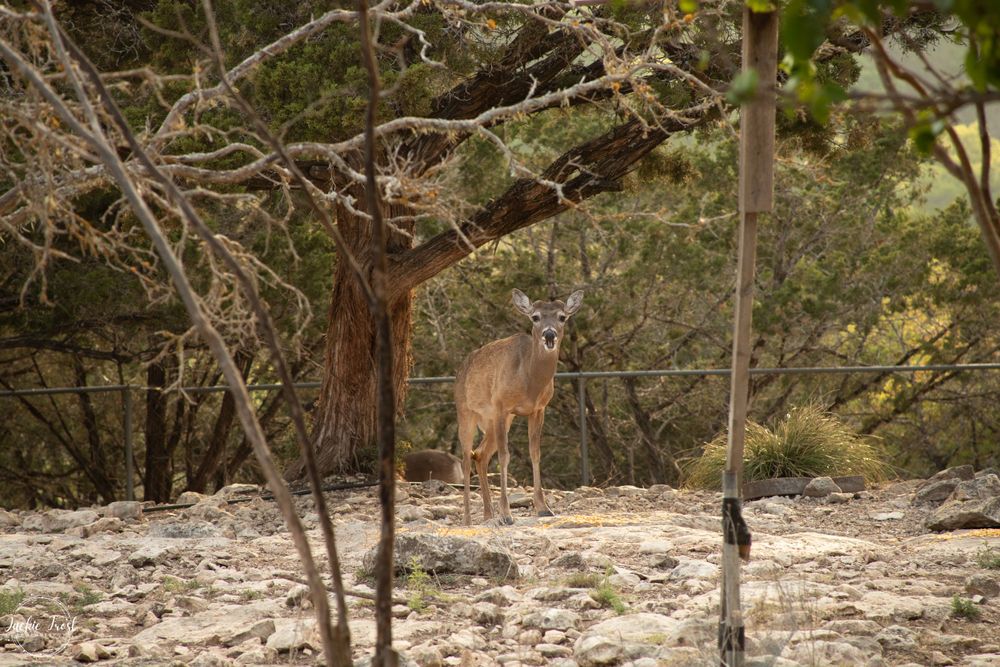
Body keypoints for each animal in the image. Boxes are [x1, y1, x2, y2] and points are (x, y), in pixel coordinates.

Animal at [455, 288, 584, 525]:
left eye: (562, 317)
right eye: (535, 317)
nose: (549, 335)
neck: (528, 380)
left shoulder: (538, 409)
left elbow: (535, 452)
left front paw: (543, 508)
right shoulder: (500, 405)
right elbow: (505, 456)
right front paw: (506, 514)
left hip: (497, 421)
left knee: (480, 454)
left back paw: (488, 515)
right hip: (466, 412)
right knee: (467, 457)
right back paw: (468, 519)